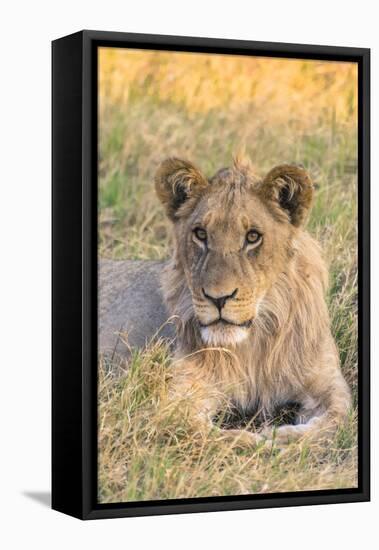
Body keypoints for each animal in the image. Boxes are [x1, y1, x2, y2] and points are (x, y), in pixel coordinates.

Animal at [99, 156, 352, 448]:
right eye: (200, 234)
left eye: (253, 237)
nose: (218, 298)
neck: (253, 345)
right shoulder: (178, 394)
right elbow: (208, 434)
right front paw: (263, 443)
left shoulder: (328, 382)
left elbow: (337, 417)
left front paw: (285, 438)